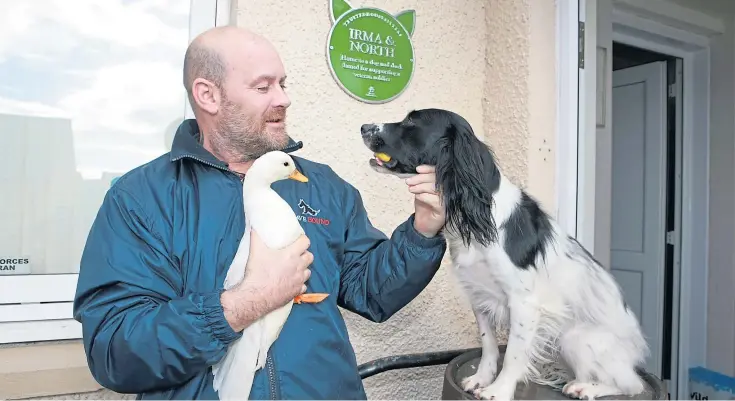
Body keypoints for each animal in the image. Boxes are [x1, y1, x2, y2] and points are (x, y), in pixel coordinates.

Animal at [360, 108, 648, 398]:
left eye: (412, 121)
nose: (364, 127)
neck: (477, 215)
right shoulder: (479, 296)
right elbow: (488, 345)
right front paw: (482, 379)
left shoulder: (524, 303)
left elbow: (513, 354)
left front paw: (498, 390)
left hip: (575, 338)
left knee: (632, 384)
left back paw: (586, 387)